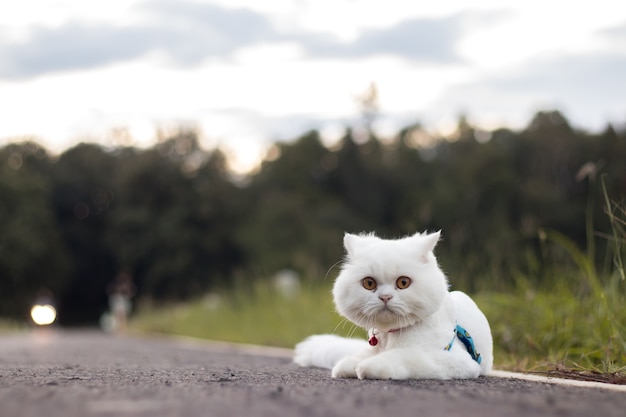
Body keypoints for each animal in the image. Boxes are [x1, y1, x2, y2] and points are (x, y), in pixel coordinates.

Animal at [292, 232, 492, 378]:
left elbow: (406, 357)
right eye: (369, 283)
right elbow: (359, 357)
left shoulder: (454, 360)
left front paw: (369, 367)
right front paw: (350, 365)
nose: (385, 297)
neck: (389, 336)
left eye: (403, 283)